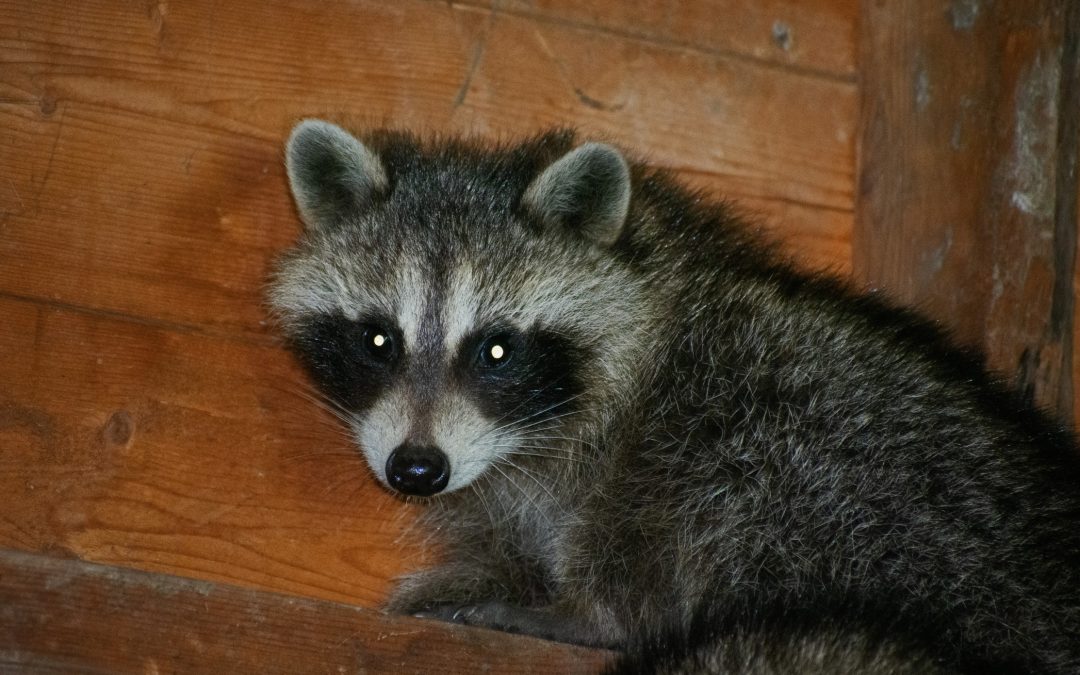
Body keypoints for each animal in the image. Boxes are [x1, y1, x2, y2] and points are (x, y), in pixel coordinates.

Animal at [269, 120, 1080, 673]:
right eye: (378, 340)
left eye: (495, 348)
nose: (415, 470)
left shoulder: (666, 410)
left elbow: (628, 539)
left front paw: (570, 611)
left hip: (842, 466)